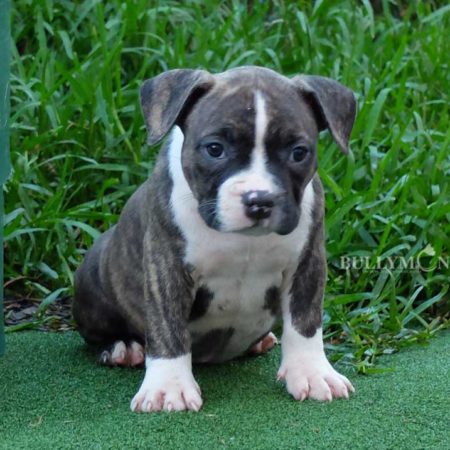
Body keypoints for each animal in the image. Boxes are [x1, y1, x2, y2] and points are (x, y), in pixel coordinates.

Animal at [73, 66, 357, 412]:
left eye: (298, 153)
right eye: (214, 149)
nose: (259, 200)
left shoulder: (307, 262)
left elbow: (306, 320)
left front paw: (313, 372)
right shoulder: (167, 266)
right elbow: (168, 326)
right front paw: (169, 386)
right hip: (92, 273)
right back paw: (122, 347)